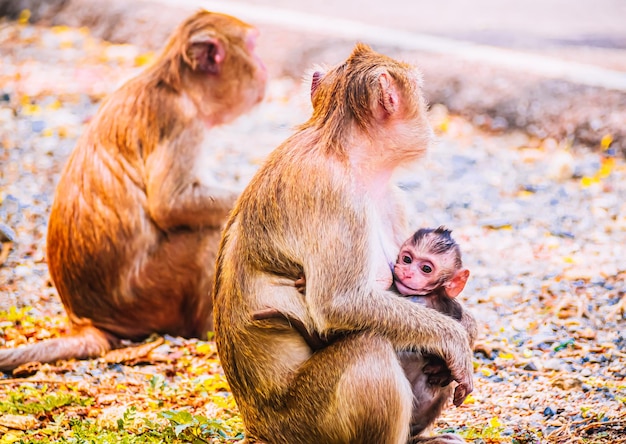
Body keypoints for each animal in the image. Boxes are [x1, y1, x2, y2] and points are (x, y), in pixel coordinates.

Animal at [0, 9, 266, 372]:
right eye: (252, 48)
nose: (264, 67)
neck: (178, 86)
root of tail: (85, 320)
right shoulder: (181, 121)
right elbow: (170, 205)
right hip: (149, 296)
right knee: (206, 234)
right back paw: (207, 330)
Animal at [212, 42, 470, 444]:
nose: (428, 122)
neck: (345, 152)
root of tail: (256, 429)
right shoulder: (333, 195)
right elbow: (339, 303)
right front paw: (458, 339)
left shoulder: (392, 197)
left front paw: (467, 327)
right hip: (301, 425)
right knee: (370, 349)